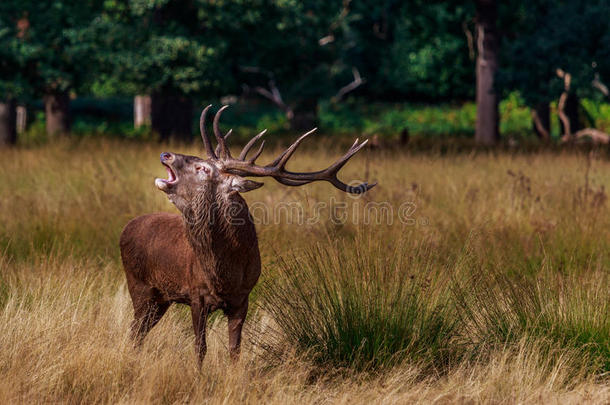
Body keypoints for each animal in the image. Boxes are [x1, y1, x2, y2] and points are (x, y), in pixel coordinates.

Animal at [119, 105, 372, 362]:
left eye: (203, 168)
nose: (166, 154)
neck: (225, 274)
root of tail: (127, 227)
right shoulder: (195, 294)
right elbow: (200, 348)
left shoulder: (243, 297)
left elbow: (235, 350)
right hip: (139, 286)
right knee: (134, 331)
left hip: (160, 298)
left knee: (138, 333)